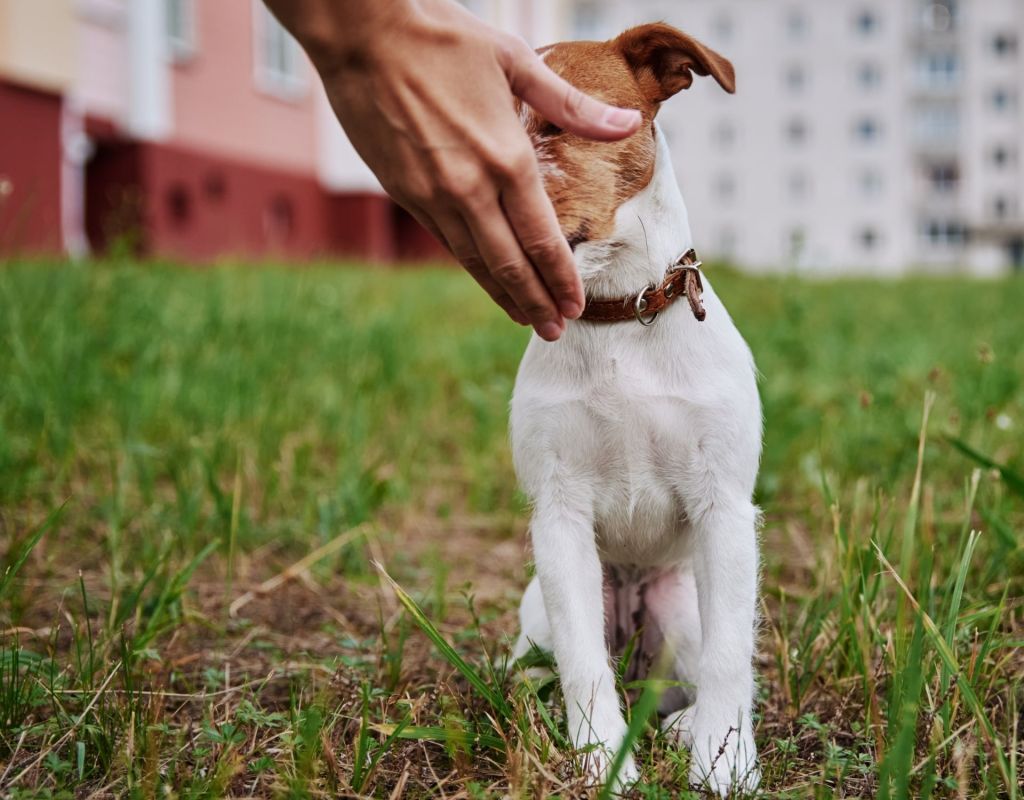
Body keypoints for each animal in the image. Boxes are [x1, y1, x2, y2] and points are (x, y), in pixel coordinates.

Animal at [509, 23, 761, 790]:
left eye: (557, 123)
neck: (618, 313)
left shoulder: (724, 509)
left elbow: (731, 657)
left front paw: (723, 760)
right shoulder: (558, 518)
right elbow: (582, 663)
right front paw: (599, 759)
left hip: (681, 608)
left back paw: (683, 728)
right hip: (539, 611)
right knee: (549, 667)